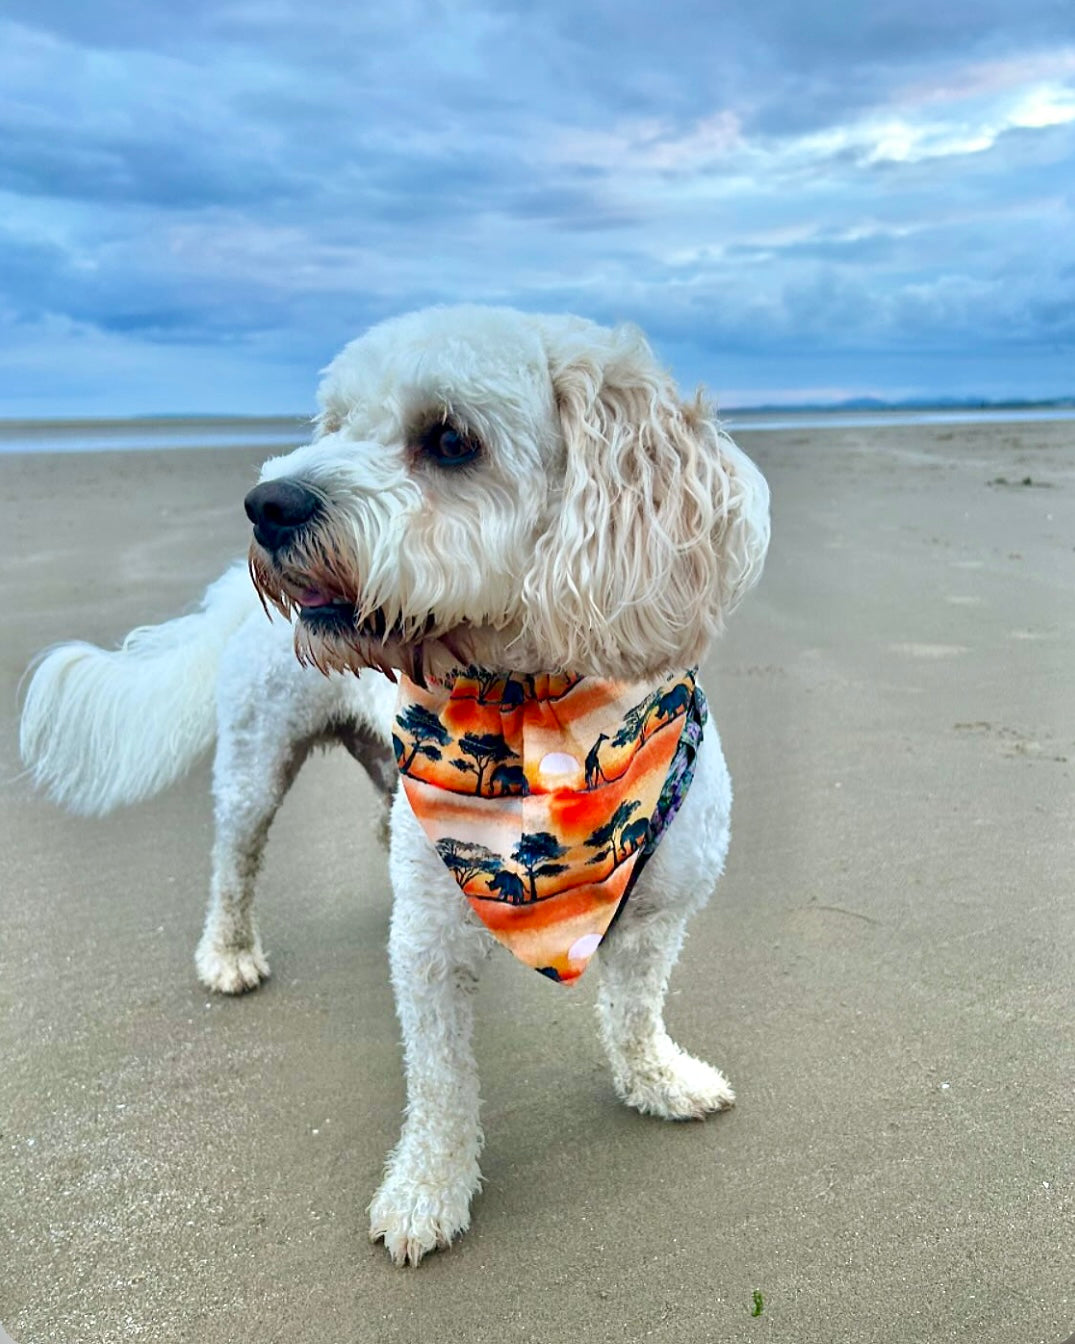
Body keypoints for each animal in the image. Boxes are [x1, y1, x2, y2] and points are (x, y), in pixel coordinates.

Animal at [18, 302, 774, 1257]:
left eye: (449, 440)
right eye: (336, 424)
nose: (266, 504)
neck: (535, 709)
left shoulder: (655, 917)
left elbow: (634, 1013)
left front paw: (658, 1082)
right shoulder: (429, 948)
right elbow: (441, 1080)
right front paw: (427, 1191)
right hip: (254, 765)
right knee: (234, 862)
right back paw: (227, 953)